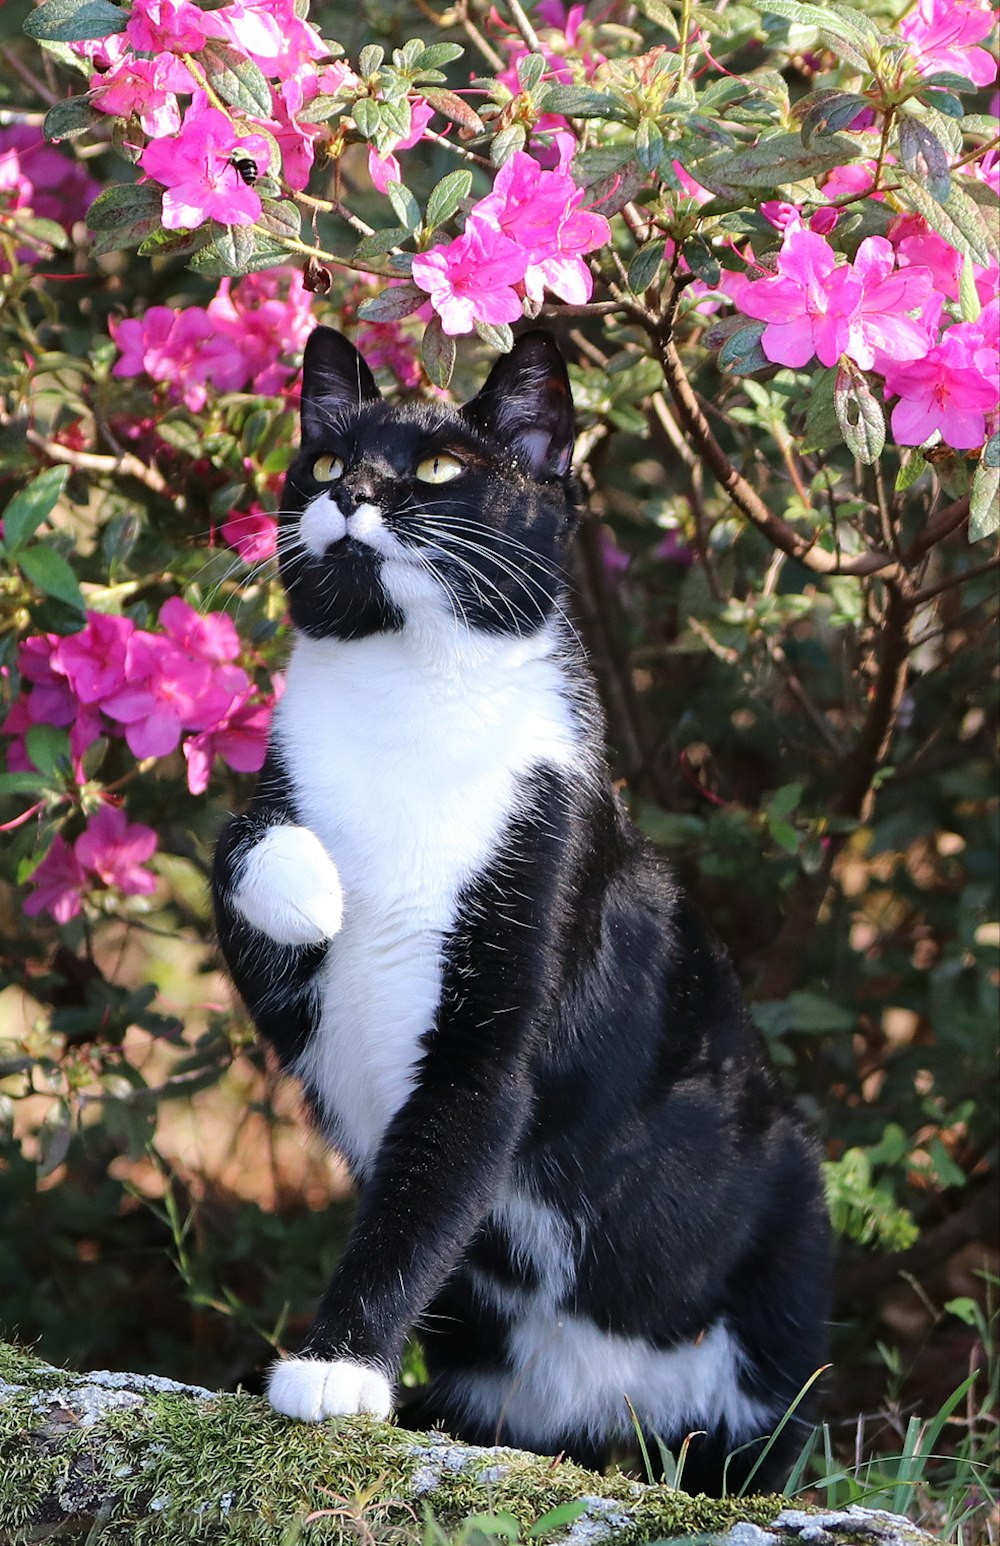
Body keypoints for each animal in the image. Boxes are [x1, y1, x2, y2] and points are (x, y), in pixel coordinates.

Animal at [211, 326, 828, 1496]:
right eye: (325, 460)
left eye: (441, 468)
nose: (353, 491)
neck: (406, 698)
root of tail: (600, 1427)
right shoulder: (277, 912)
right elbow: (238, 851)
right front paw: (318, 894)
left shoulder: (537, 904)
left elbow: (437, 1171)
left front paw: (336, 1370)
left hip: (782, 1265)